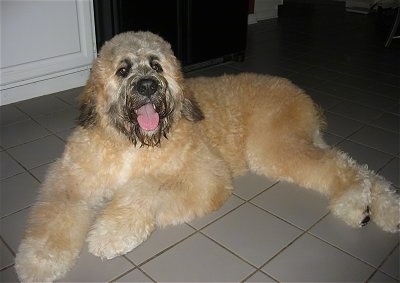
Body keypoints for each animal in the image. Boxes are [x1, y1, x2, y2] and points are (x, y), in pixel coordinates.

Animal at [14, 30, 398, 282]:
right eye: (123, 69)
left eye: (156, 65)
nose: (148, 86)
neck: (132, 143)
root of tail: (305, 96)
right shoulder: (72, 178)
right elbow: (53, 217)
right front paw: (38, 260)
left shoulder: (205, 174)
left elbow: (142, 189)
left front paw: (110, 232)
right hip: (291, 147)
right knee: (360, 168)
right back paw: (382, 209)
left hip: (278, 147)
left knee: (344, 167)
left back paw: (356, 203)